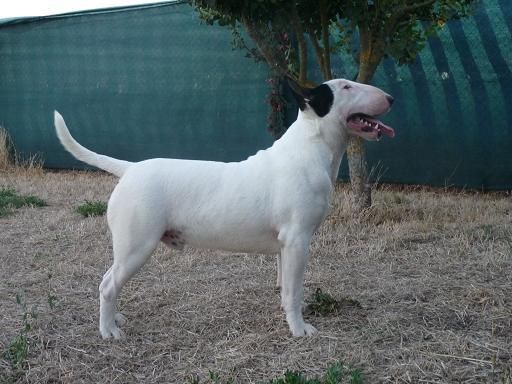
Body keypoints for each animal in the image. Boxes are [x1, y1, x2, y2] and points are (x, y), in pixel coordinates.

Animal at [54, 78, 394, 340]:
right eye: (346, 87)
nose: (390, 98)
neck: (309, 149)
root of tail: (130, 169)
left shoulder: (285, 245)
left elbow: (285, 285)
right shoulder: (298, 240)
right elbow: (294, 290)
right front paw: (299, 329)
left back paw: (115, 318)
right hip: (137, 245)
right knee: (108, 284)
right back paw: (108, 331)